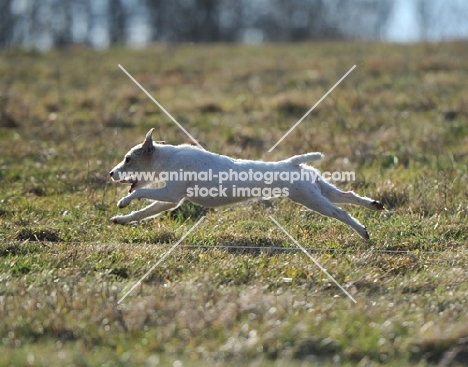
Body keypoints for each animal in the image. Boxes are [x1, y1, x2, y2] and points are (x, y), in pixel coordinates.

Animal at [110, 129, 384, 239]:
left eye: (128, 158)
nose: (111, 173)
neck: (166, 157)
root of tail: (292, 164)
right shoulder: (170, 201)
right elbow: (142, 212)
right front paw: (121, 219)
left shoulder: (170, 193)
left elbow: (142, 192)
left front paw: (123, 200)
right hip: (320, 190)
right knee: (349, 196)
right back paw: (374, 205)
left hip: (311, 199)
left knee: (341, 212)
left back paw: (362, 232)